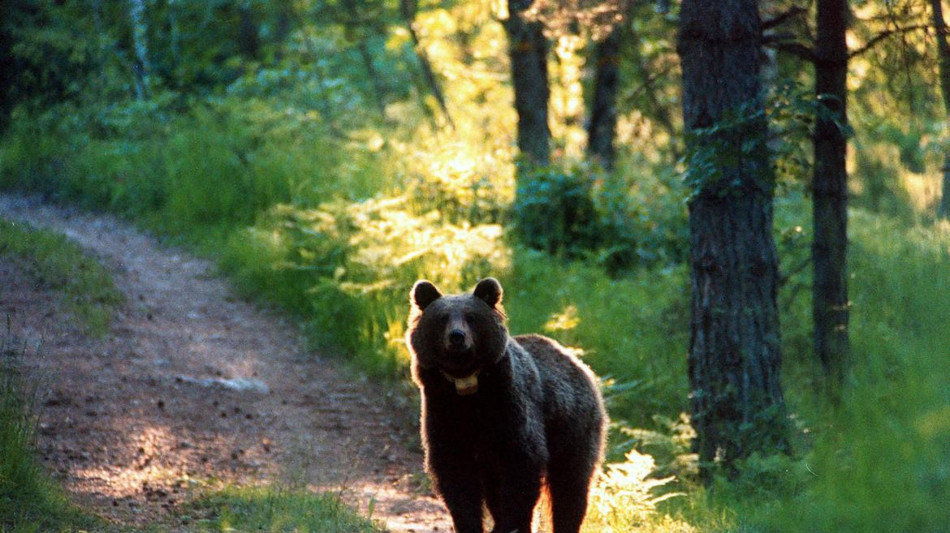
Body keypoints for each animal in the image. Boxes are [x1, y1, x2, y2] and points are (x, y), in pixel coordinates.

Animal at [406, 276, 608, 532]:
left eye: (471, 317)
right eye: (442, 318)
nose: (457, 336)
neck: (467, 387)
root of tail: (578, 362)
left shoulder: (509, 409)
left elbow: (522, 465)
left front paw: (508, 524)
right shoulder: (444, 411)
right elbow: (455, 475)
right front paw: (471, 523)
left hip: (573, 428)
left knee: (571, 487)